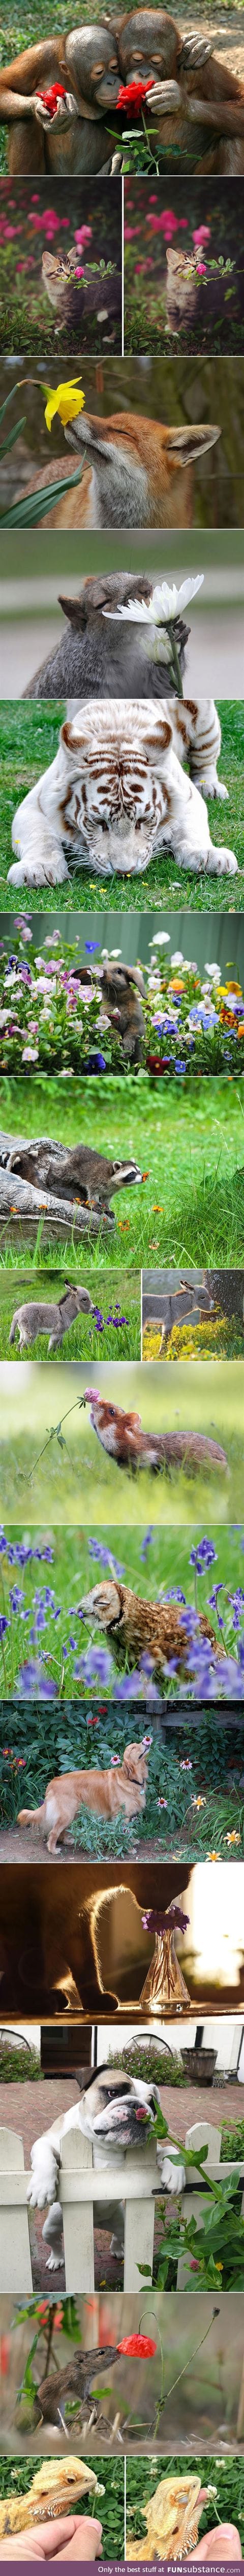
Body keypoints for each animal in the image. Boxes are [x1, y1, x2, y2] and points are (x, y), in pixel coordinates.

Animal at [27, 2061, 185, 2267]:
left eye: (152, 2105)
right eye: (114, 2093)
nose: (139, 2107)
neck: (106, 2147)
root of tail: (96, 2224)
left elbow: (170, 2150)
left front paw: (176, 2174)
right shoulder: (48, 2141)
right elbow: (45, 2155)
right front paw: (42, 2188)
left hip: (122, 2224)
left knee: (117, 2237)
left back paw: (118, 2251)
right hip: (50, 2228)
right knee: (56, 2243)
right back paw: (56, 2259)